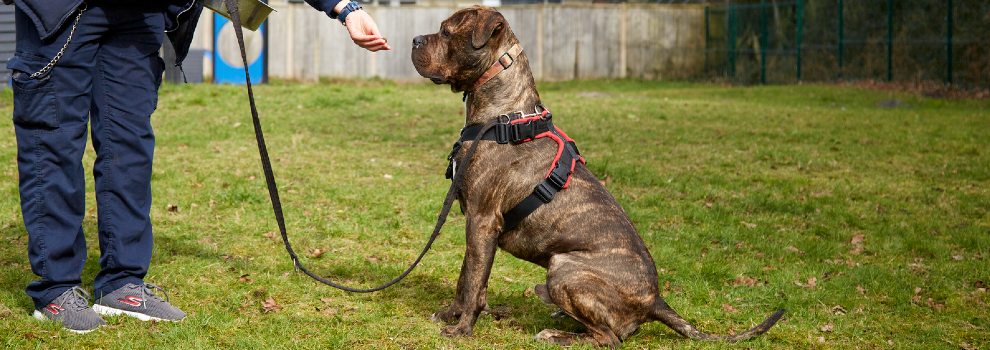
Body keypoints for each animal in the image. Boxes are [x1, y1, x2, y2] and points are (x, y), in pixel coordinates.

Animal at [408, 5, 784, 348]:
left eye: (445, 32)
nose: (414, 39)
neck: (504, 113)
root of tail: (655, 300)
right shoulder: (475, 223)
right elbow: (465, 278)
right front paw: (450, 315)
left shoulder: (483, 221)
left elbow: (473, 281)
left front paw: (461, 329)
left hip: (564, 267)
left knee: (608, 338)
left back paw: (555, 335)